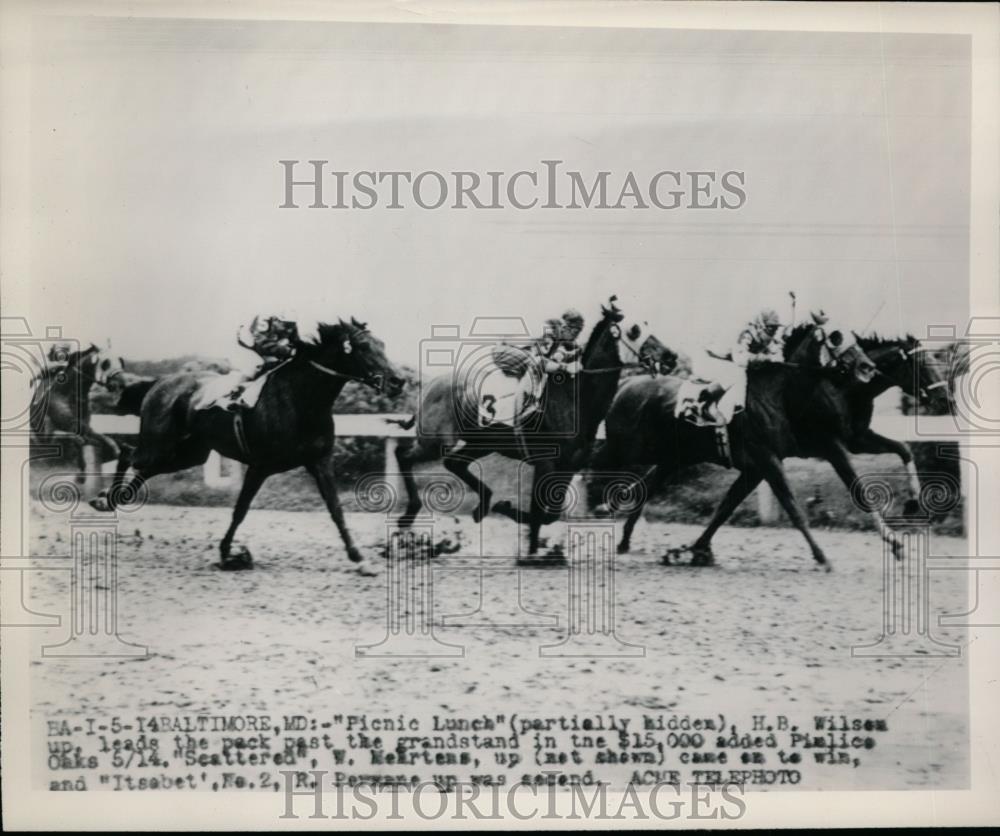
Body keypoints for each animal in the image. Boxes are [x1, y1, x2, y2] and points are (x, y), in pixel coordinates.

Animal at [30, 342, 126, 484]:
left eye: (121, 361)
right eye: (106, 363)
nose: (121, 384)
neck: (68, 395)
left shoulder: (86, 426)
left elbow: (104, 439)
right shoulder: (48, 436)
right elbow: (74, 438)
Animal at [90, 320, 402, 576]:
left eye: (383, 345)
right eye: (363, 347)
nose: (398, 381)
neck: (301, 400)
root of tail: (159, 382)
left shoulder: (319, 461)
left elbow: (336, 510)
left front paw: (360, 559)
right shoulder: (260, 466)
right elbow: (240, 509)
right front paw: (227, 553)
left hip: (189, 453)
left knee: (144, 467)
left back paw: (113, 497)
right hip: (160, 444)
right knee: (129, 453)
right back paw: (106, 497)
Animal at [390, 298, 656, 560]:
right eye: (635, 330)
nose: (666, 356)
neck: (574, 399)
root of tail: (431, 384)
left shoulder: (569, 465)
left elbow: (551, 513)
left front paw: (516, 522)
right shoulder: (545, 461)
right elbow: (540, 511)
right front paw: (529, 550)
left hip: (482, 443)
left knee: (453, 463)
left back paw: (482, 506)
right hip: (435, 441)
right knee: (403, 455)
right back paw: (409, 514)